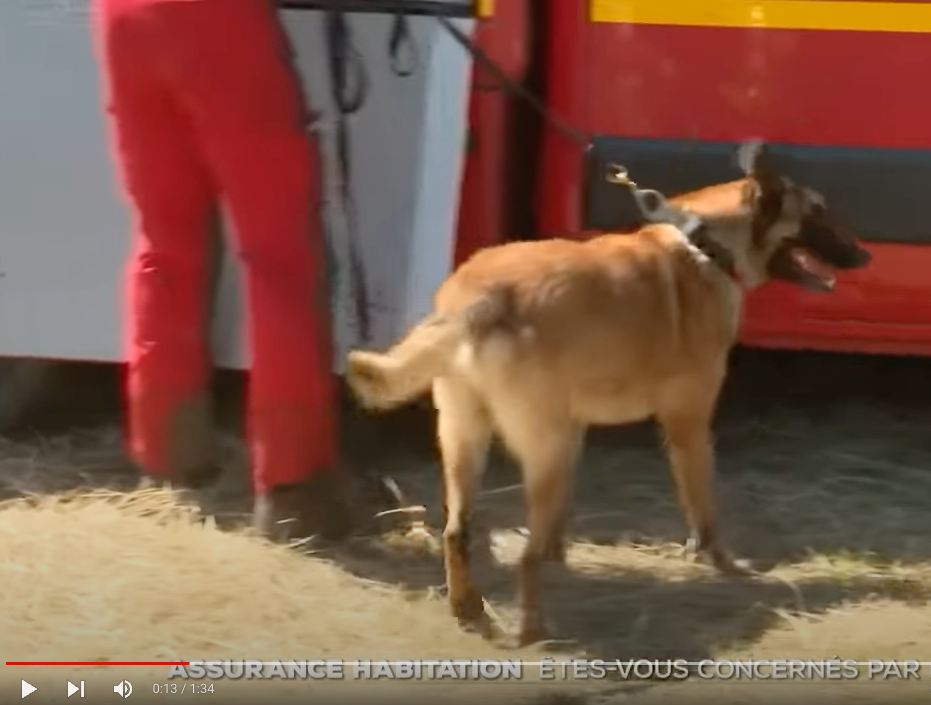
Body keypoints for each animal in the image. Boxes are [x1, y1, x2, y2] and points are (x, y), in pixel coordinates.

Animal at [346, 142, 872, 644]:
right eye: (817, 211)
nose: (864, 257)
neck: (706, 244)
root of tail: (478, 300)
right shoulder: (689, 426)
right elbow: (704, 508)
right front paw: (723, 564)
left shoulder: (577, 428)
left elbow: (561, 518)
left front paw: (561, 556)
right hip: (544, 448)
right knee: (524, 557)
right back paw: (533, 630)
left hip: (469, 440)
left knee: (458, 532)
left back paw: (469, 610)